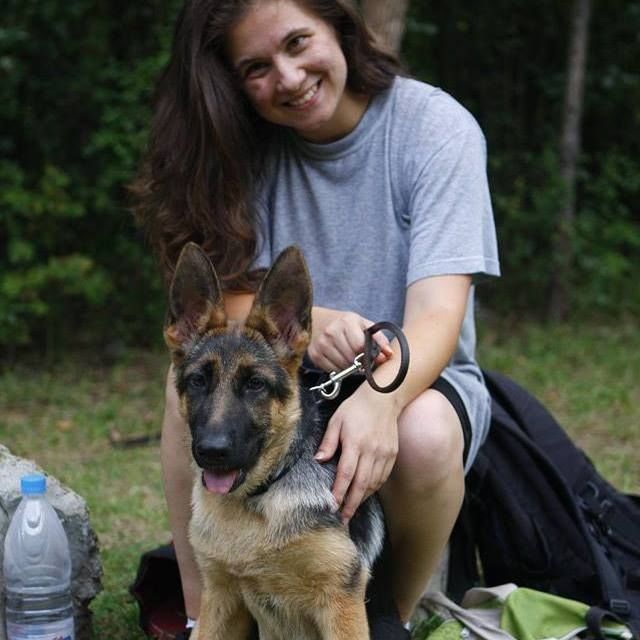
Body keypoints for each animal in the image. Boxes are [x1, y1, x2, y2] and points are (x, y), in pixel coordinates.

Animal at [164, 242, 408, 640]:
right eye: (198, 381)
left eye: (255, 384)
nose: (212, 452)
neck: (257, 500)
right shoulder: (220, 598)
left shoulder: (341, 603)